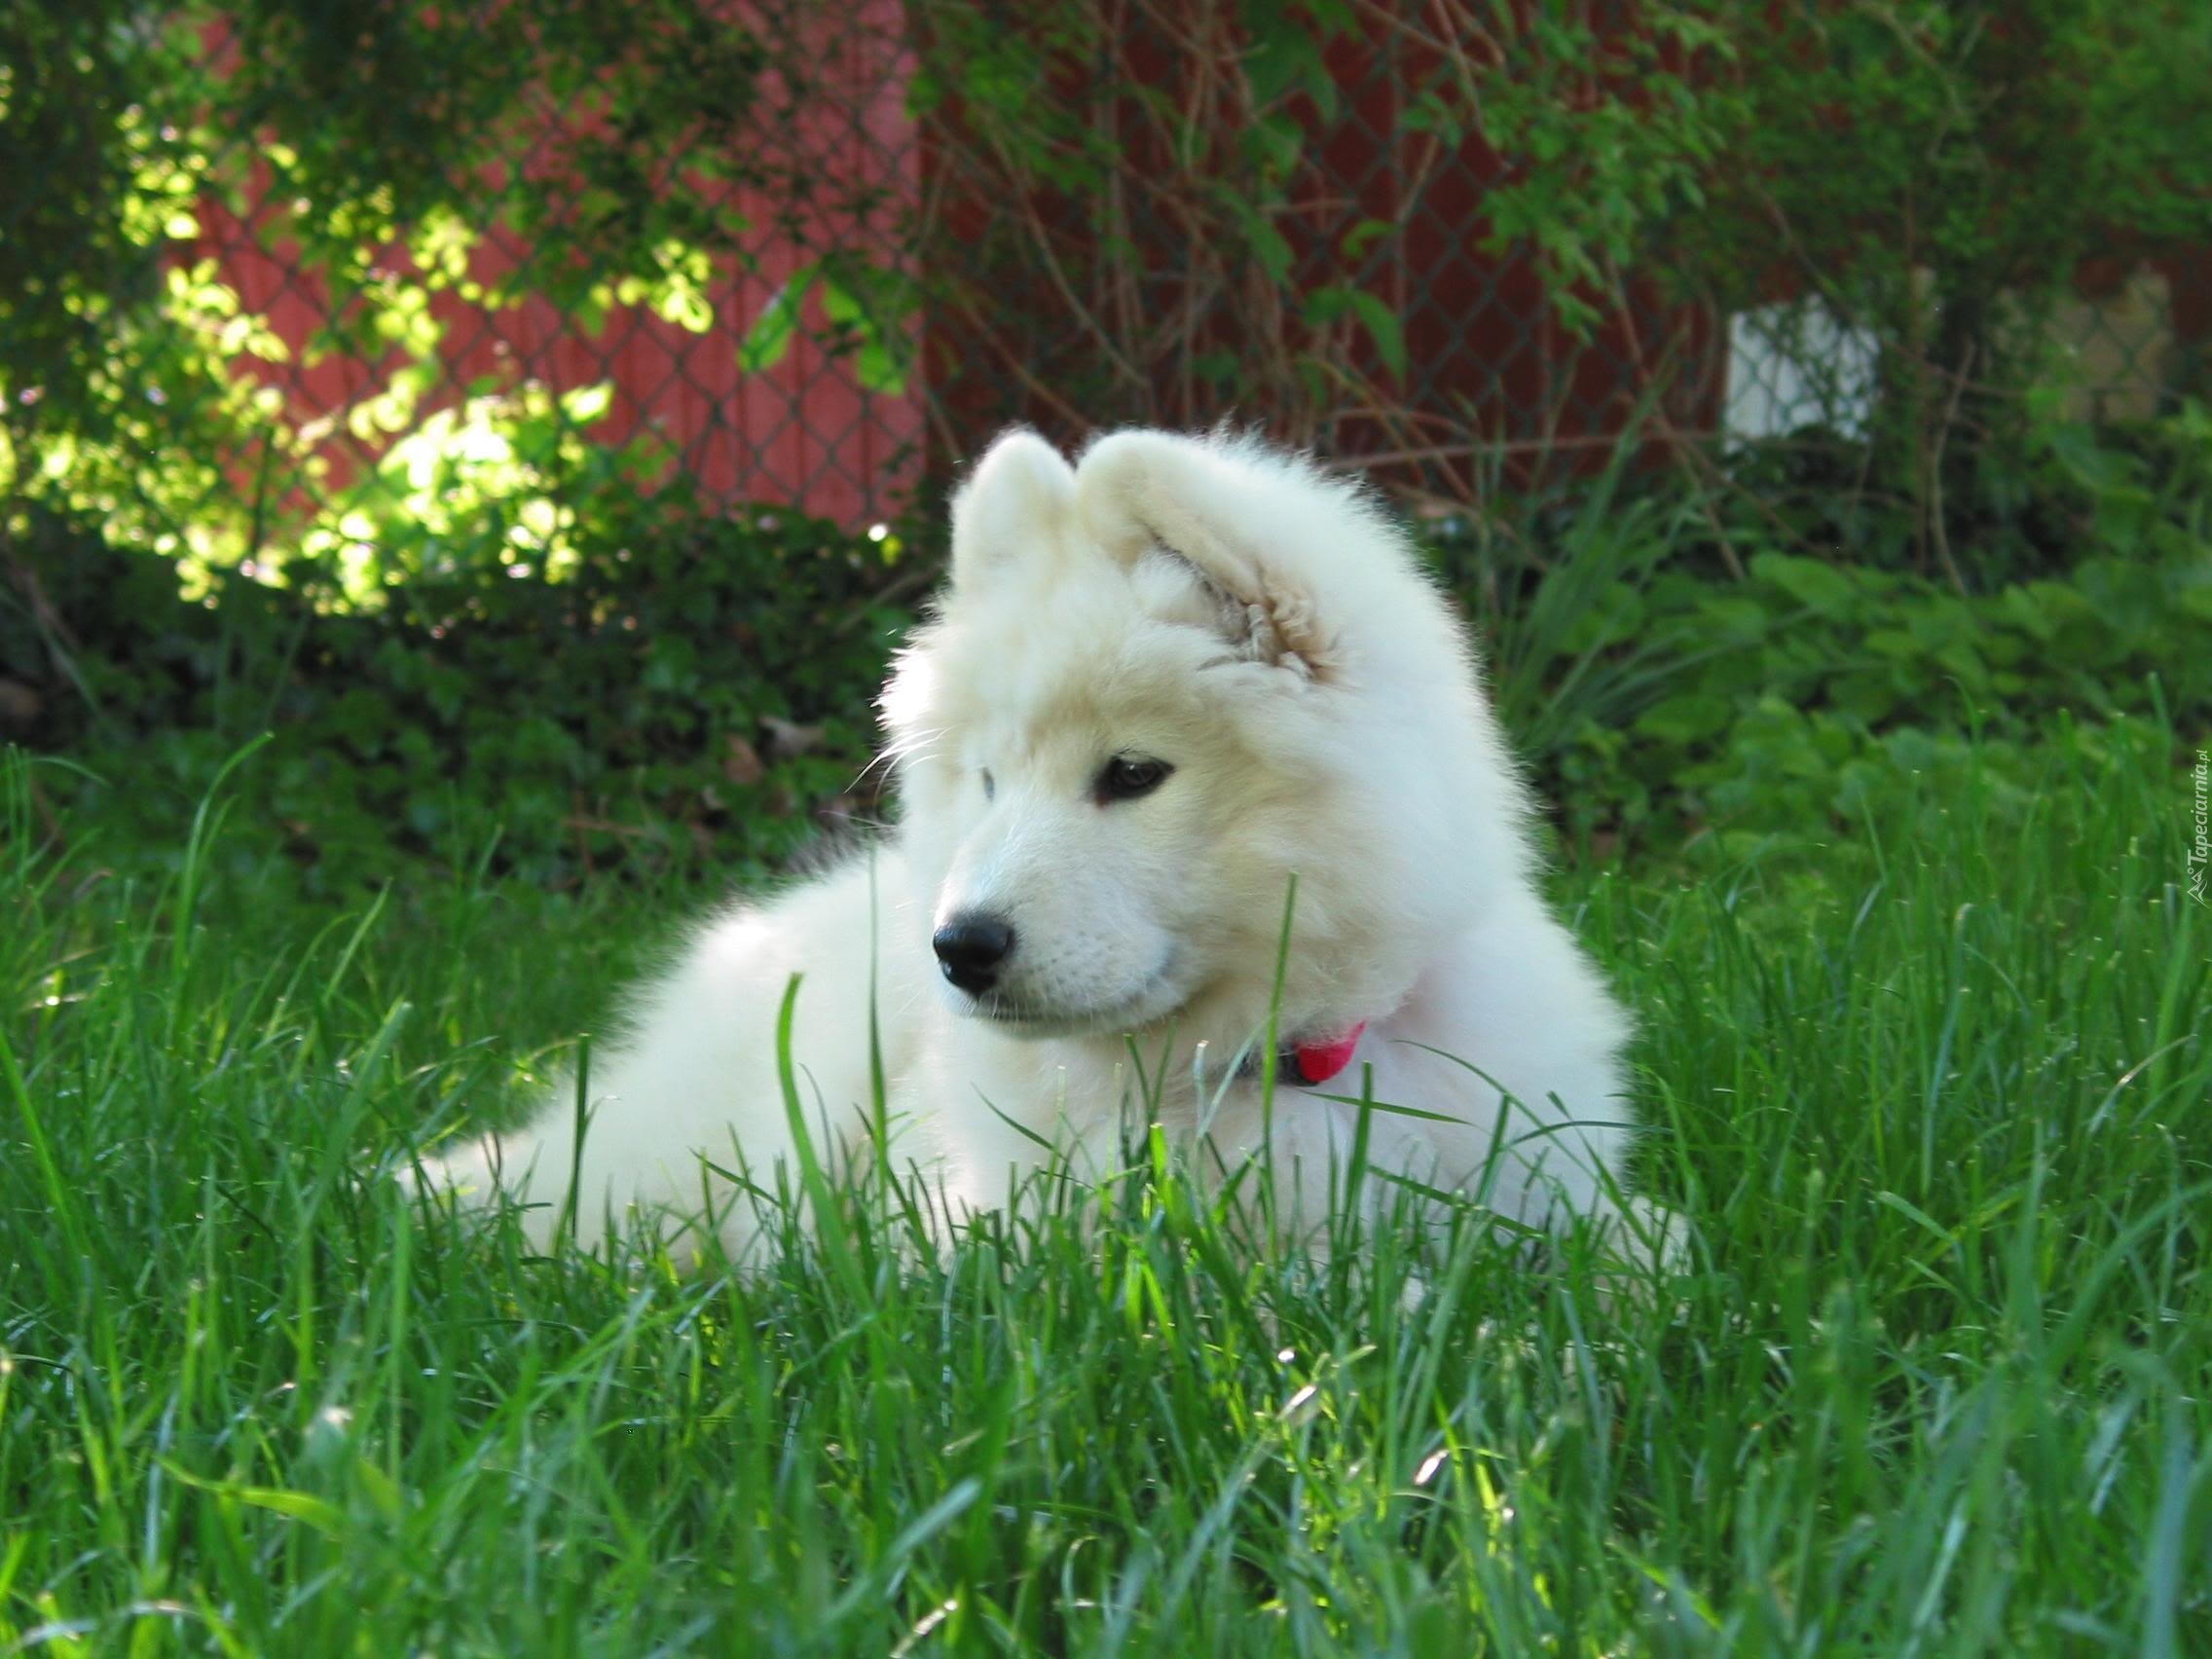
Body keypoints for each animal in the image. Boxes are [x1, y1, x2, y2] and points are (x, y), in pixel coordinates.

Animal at [431, 428, 1645, 1256]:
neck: (1274, 1059)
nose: (959, 950)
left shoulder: (1548, 1171)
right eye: (987, 781)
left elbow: (1629, 1250)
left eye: (1132, 775)